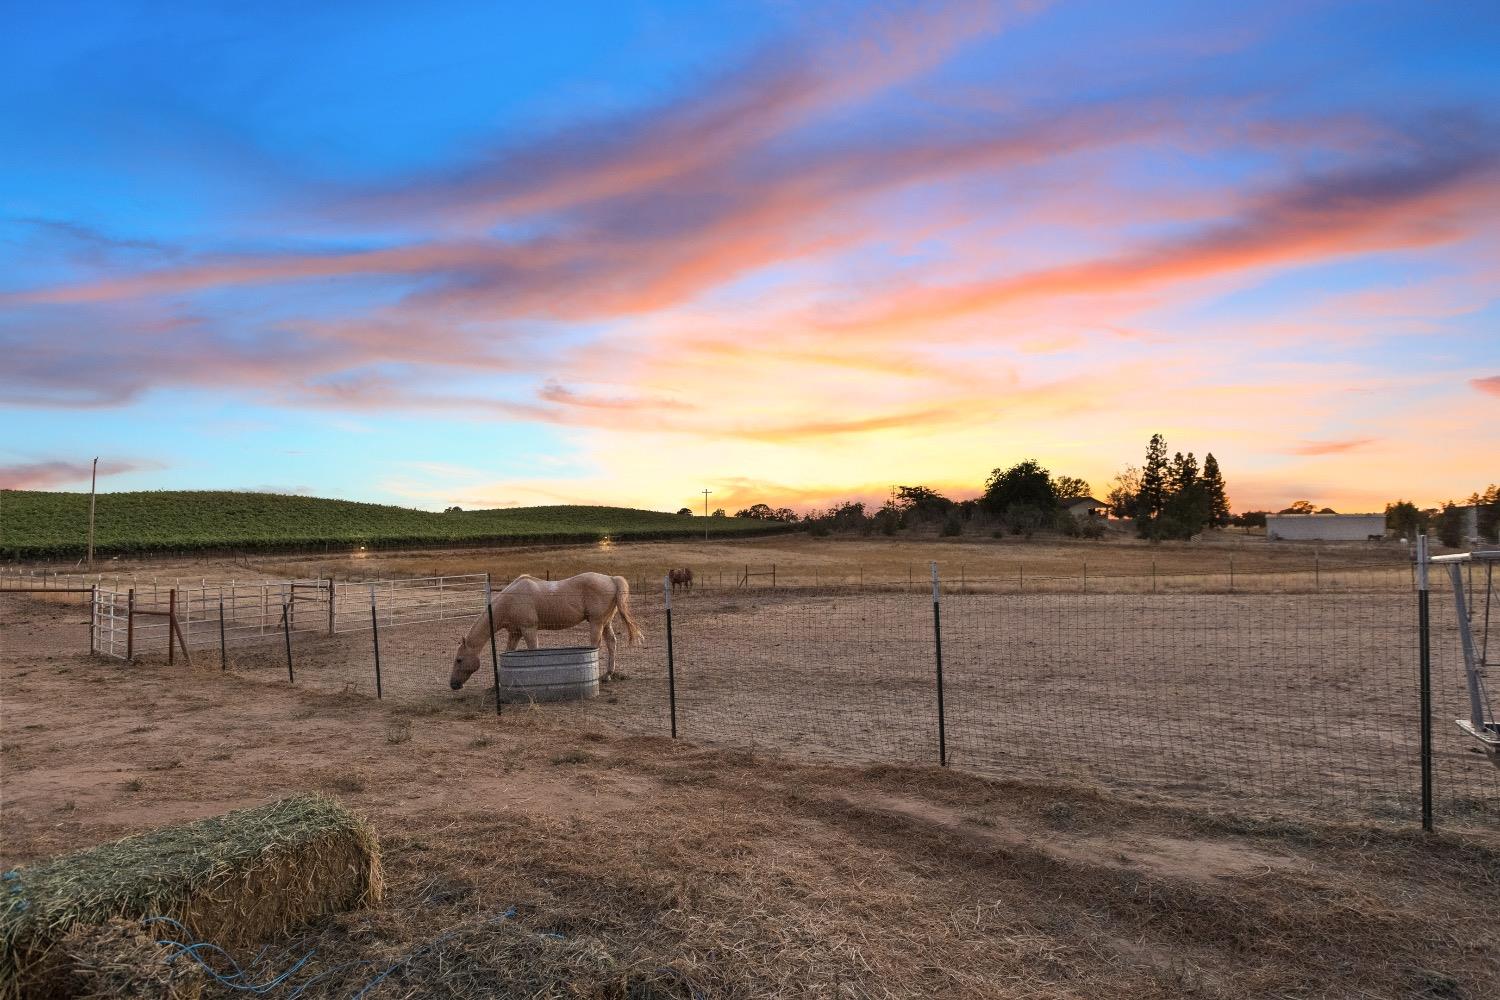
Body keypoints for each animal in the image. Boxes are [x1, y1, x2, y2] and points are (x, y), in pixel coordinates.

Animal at [447, 575, 642, 692]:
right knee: (612, 643)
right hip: (606, 622)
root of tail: (611, 579)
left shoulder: (529, 629)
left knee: (596, 645)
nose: (453, 684)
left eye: (459, 660)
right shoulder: (515, 633)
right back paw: (607, 675)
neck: (510, 601)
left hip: (596, 623)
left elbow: (533, 651)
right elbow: (509, 651)